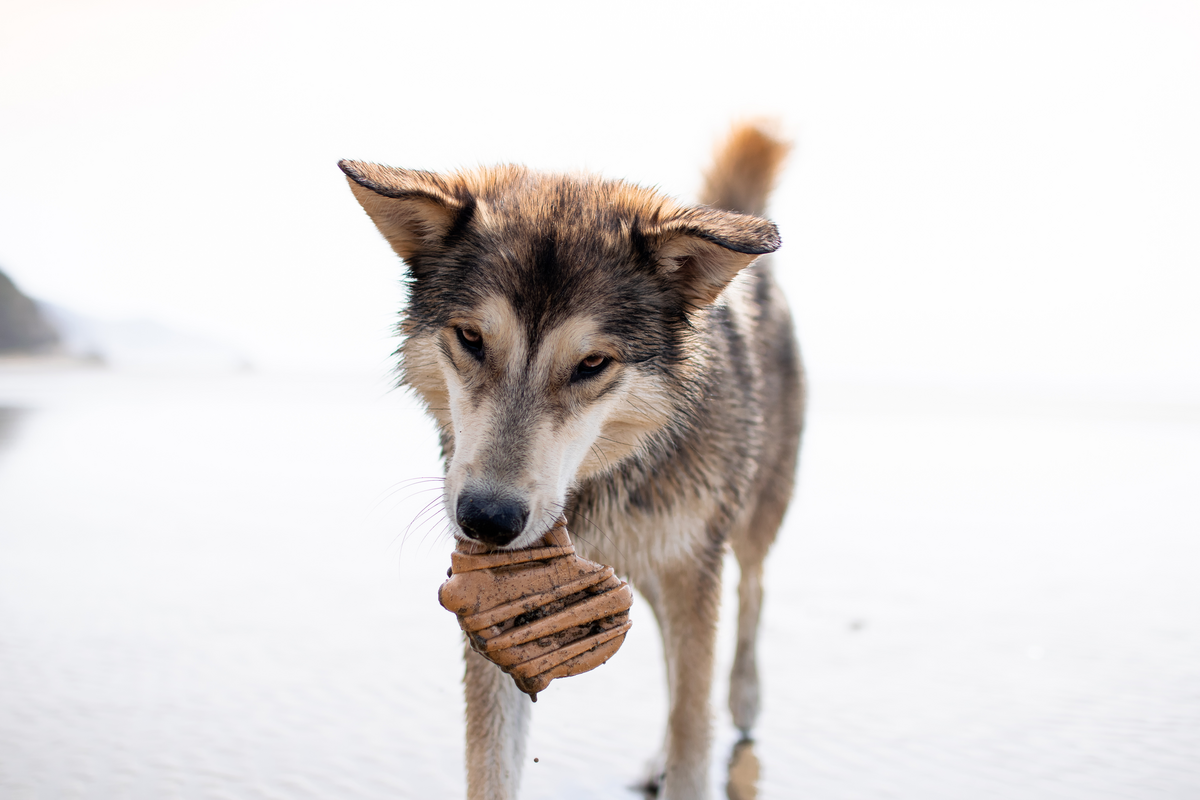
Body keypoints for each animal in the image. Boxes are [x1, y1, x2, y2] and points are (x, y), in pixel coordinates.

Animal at [343, 120, 801, 800]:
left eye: (592, 363)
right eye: (472, 339)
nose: (487, 519)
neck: (595, 495)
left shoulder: (693, 571)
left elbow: (694, 734)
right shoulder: (493, 627)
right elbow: (491, 768)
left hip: (743, 526)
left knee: (753, 591)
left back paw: (743, 700)